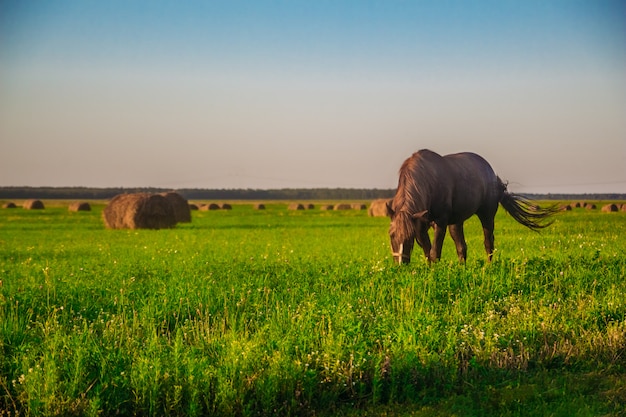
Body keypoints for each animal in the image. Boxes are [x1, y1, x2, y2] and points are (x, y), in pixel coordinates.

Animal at [386, 150, 556, 264]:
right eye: (392, 235)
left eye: (408, 238)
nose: (400, 265)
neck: (428, 181)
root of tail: (492, 174)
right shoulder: (420, 225)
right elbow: (427, 250)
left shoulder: (440, 222)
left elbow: (435, 251)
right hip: (456, 222)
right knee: (461, 246)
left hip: (487, 215)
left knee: (488, 242)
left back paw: (489, 266)